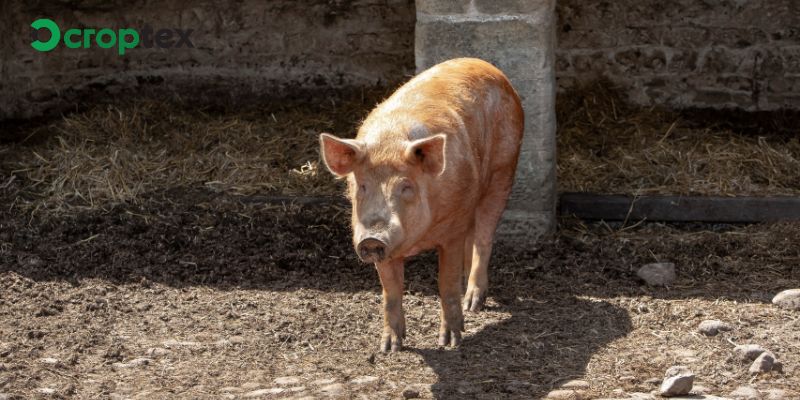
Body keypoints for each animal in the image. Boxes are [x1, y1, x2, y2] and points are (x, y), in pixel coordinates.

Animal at [318, 57, 524, 352]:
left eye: (406, 187)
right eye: (362, 186)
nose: (372, 238)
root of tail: (487, 66)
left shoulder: (451, 232)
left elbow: (446, 284)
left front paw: (450, 343)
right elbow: (391, 292)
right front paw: (389, 348)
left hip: (503, 172)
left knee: (484, 238)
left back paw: (473, 304)